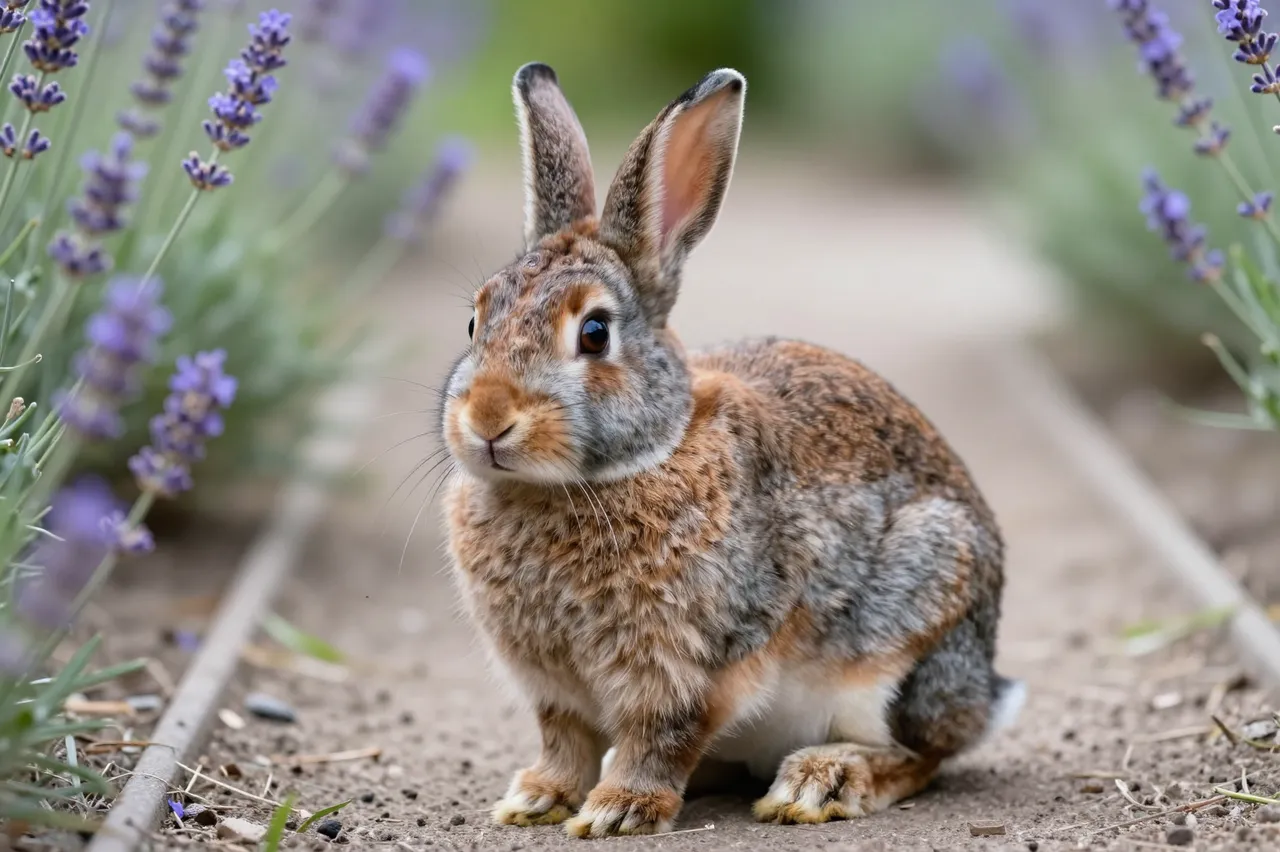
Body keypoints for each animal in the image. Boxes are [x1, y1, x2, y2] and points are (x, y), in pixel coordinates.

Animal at [438, 62, 1024, 839]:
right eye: (476, 320)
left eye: (594, 333)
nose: (488, 419)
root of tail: (985, 694)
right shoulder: (552, 686)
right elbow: (564, 740)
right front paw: (536, 799)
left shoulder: (694, 664)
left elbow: (661, 737)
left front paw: (619, 810)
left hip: (908, 631)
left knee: (917, 753)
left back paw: (820, 782)